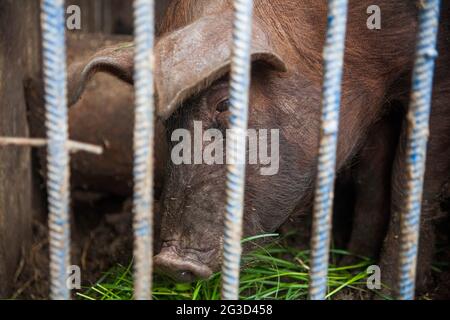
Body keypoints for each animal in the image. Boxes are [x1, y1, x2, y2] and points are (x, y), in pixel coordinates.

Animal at [61, 0, 448, 298]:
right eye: (166, 122)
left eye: (227, 103)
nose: (170, 263)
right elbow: (371, 175)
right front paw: (351, 262)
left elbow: (408, 178)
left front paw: (388, 291)